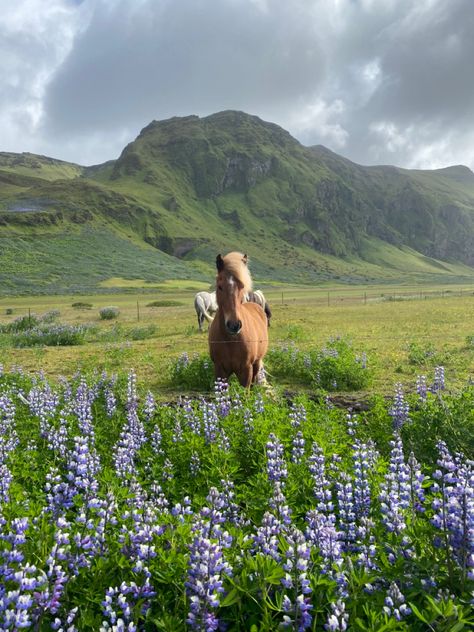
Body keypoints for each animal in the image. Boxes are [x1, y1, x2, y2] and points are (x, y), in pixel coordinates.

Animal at [209, 251, 268, 386]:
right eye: (220, 286)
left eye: (242, 286)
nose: (234, 325)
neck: (230, 340)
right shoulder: (219, 370)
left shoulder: (246, 370)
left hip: (256, 364)